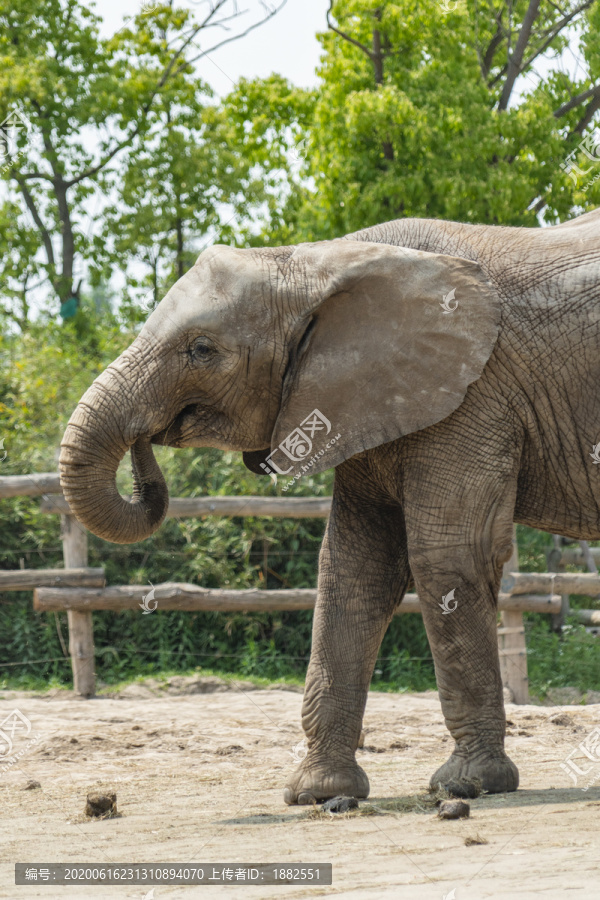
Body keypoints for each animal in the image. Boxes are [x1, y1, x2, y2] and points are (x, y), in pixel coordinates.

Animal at [59, 207, 600, 804]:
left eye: (202, 350)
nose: (145, 442)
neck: (317, 262)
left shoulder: (475, 395)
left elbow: (447, 558)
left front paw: (467, 785)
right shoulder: (367, 396)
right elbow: (353, 564)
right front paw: (319, 794)